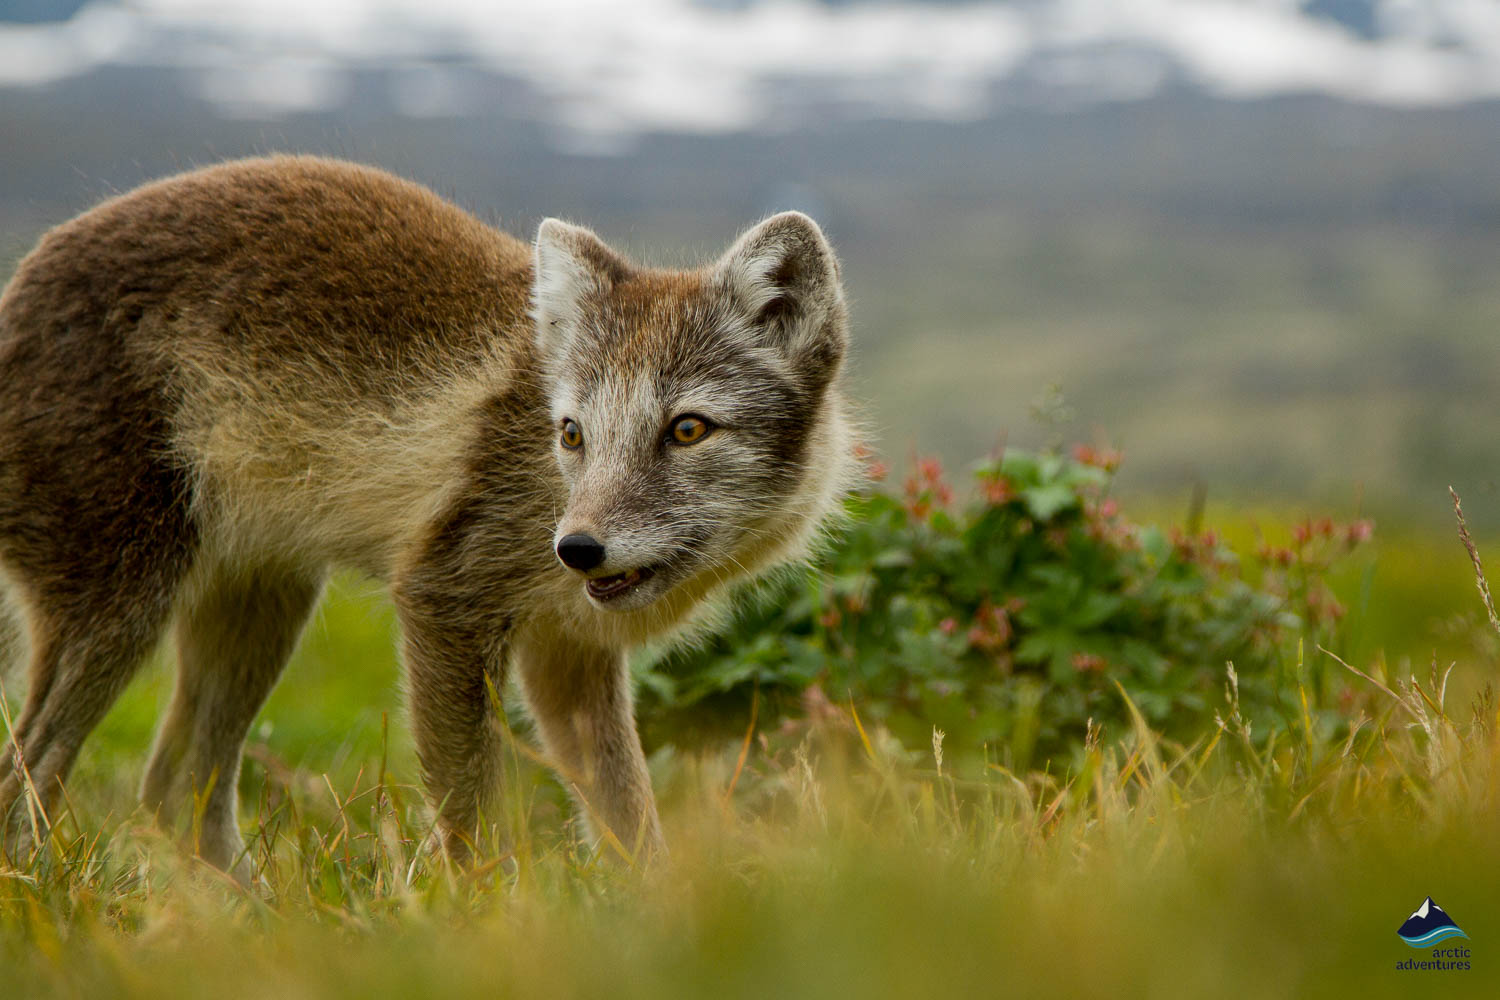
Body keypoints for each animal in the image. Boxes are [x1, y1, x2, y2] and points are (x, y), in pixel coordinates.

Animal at [0, 155, 856, 877]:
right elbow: (471, 819)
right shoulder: (444, 600)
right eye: (572, 434)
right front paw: (489, 919)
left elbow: (629, 818)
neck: (541, 477)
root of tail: (14, 292)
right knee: (30, 773)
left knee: (172, 792)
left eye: (687, 430)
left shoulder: (568, 654)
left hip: (261, 607)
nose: (577, 549)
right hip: (123, 609)